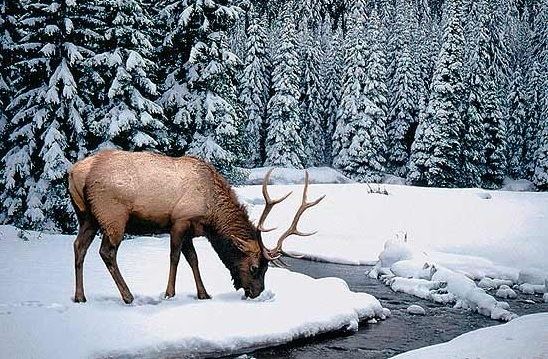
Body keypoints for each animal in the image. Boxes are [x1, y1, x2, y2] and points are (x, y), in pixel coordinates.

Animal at [69, 149, 326, 304]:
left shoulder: (191, 231)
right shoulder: (179, 221)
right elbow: (175, 257)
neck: (211, 214)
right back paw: (128, 296)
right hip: (113, 216)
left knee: (78, 246)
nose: (257, 292)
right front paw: (169, 293)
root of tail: (74, 173)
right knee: (106, 252)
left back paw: (80, 296)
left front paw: (204, 294)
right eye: (255, 267)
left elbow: (193, 259)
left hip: (87, 217)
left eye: (266, 268)